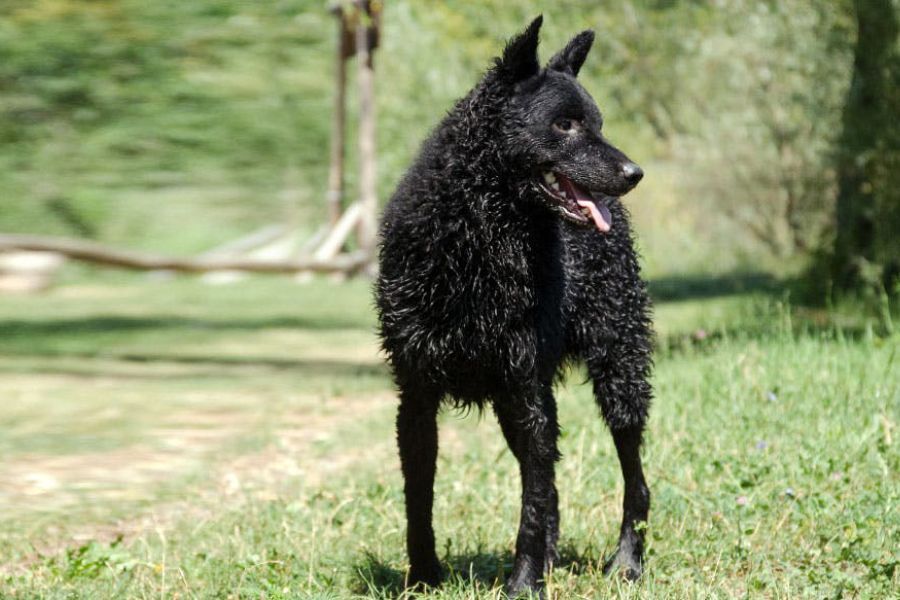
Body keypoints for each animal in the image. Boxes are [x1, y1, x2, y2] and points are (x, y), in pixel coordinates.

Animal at [374, 16, 652, 596]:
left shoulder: (526, 389)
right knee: (552, 482)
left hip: (619, 373)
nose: (635, 172)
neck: (477, 242)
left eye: (597, 123)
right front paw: (423, 577)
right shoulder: (417, 395)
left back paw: (627, 562)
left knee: (632, 478)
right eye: (565, 124)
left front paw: (523, 583)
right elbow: (419, 499)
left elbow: (532, 501)